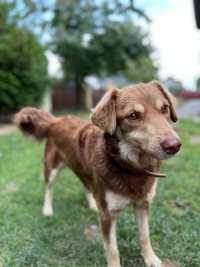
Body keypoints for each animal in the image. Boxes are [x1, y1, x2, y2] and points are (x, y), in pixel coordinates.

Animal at [15, 81, 181, 267]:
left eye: (165, 108)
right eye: (133, 115)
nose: (174, 145)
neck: (130, 166)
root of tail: (56, 120)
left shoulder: (143, 204)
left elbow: (144, 236)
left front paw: (151, 259)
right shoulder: (108, 215)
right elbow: (112, 249)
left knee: (86, 184)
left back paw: (92, 204)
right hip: (51, 168)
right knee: (48, 188)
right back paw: (48, 209)